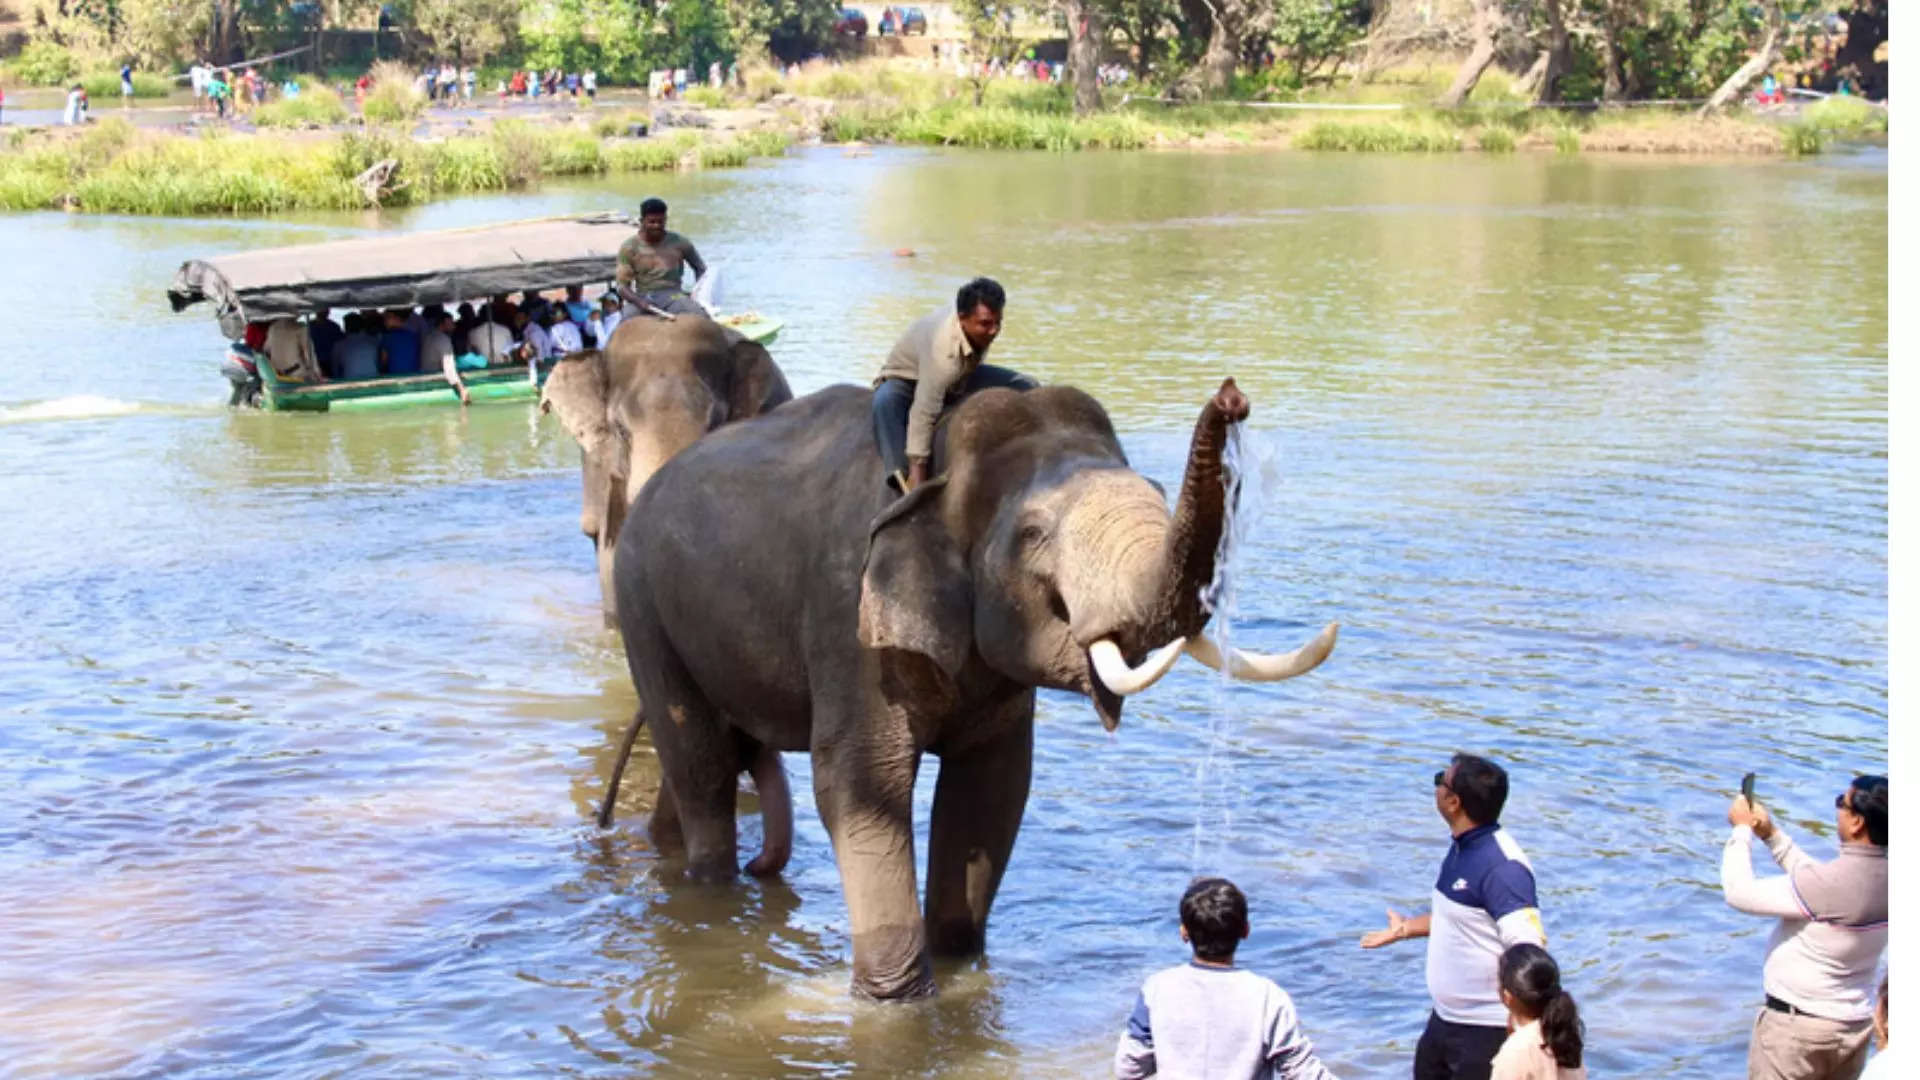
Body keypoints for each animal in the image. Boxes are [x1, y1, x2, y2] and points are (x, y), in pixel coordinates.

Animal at [599, 374, 1336, 999]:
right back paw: (711, 889)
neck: (941, 468)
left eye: (1157, 491)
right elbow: (862, 783)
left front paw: (959, 960)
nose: (1234, 398)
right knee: (701, 760)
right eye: (1034, 533)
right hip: (641, 599)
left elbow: (993, 787)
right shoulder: (850, 618)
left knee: (711, 756)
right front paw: (896, 1000)